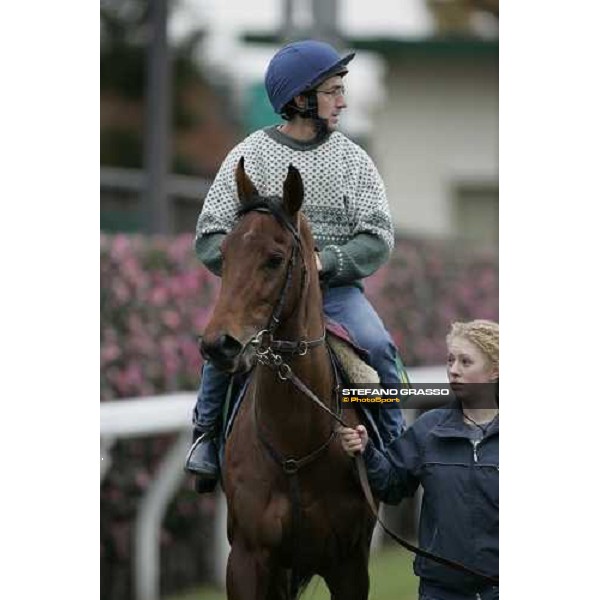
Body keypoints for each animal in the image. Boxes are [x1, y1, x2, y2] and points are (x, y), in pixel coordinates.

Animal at [200, 159, 376, 600]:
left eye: (275, 259)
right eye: (224, 254)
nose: (218, 345)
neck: (296, 441)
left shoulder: (349, 564)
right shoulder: (247, 560)